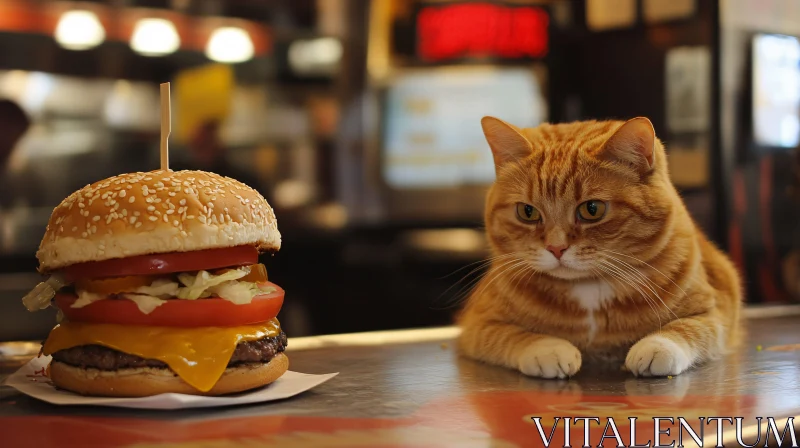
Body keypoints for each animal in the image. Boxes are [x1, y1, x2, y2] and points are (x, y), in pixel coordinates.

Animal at [456, 116, 744, 378]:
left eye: (591, 210)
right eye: (527, 212)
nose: (556, 248)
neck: (589, 288)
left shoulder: (715, 312)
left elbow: (688, 328)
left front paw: (657, 347)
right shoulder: (477, 323)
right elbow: (514, 335)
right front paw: (548, 349)